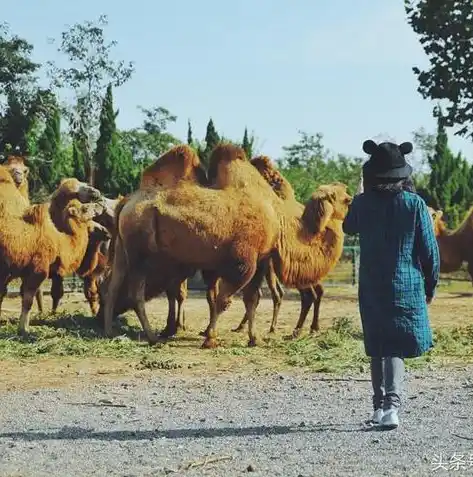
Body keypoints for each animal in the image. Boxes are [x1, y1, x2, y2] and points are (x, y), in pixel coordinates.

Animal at [0, 178, 103, 334]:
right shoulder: (38, 270)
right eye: (84, 209)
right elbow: (28, 300)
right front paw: (24, 329)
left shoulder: (18, 272)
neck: (59, 241)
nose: (98, 200)